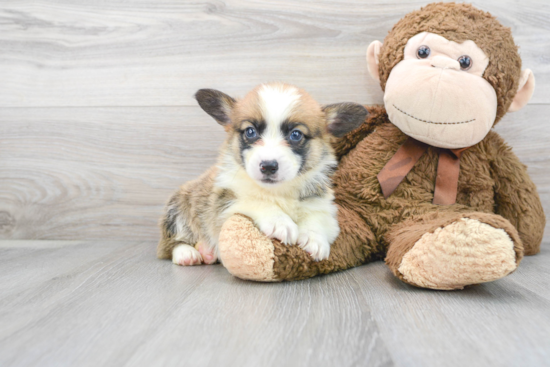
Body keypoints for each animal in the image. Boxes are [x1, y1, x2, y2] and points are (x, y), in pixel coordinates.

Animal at [157, 83, 368, 266]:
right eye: (250, 132)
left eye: (296, 135)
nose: (268, 166)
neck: (279, 190)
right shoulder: (226, 201)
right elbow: (256, 200)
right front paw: (280, 222)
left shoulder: (322, 207)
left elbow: (318, 220)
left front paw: (314, 239)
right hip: (176, 211)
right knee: (169, 245)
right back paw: (188, 253)